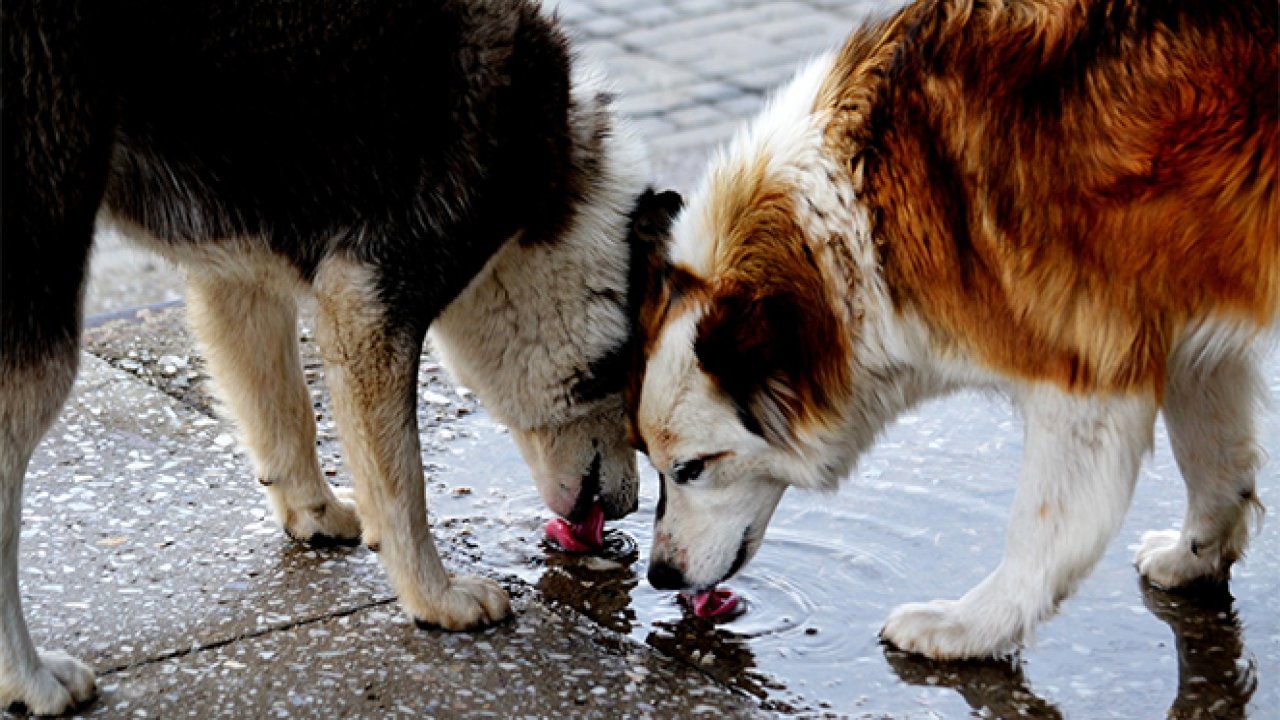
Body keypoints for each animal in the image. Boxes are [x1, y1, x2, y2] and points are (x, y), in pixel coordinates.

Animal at [0, 0, 675, 707]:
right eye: (632, 402)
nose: (626, 514)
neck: (548, 195)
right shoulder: (370, 298)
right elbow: (403, 486)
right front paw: (434, 596)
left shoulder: (237, 275)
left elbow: (285, 411)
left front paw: (313, 509)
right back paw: (31, 679)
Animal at [634, 0, 1274, 661]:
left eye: (691, 469)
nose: (660, 576)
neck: (861, 207)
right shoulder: (1185, 323)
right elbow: (1213, 459)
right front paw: (1194, 557)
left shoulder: (1087, 371)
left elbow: (1045, 530)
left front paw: (972, 625)